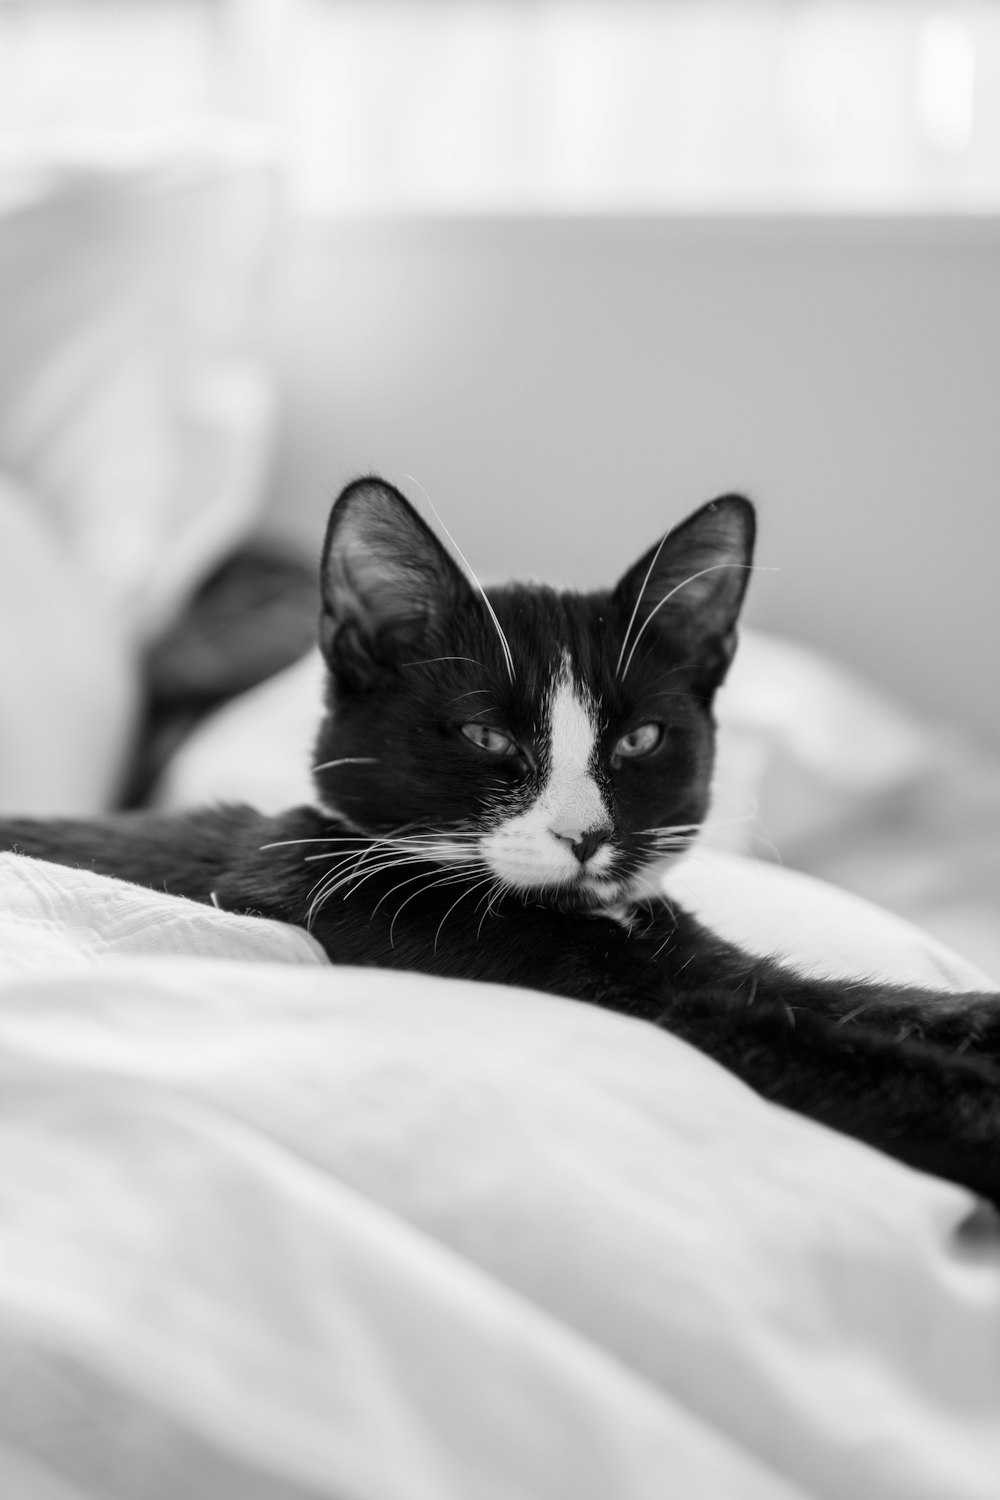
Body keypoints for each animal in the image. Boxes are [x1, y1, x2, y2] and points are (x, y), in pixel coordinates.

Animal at [1, 480, 1000, 1206]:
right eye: (485, 736)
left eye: (640, 741)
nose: (585, 834)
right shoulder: (637, 1004)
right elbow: (833, 1051)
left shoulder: (701, 958)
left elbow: (855, 1002)